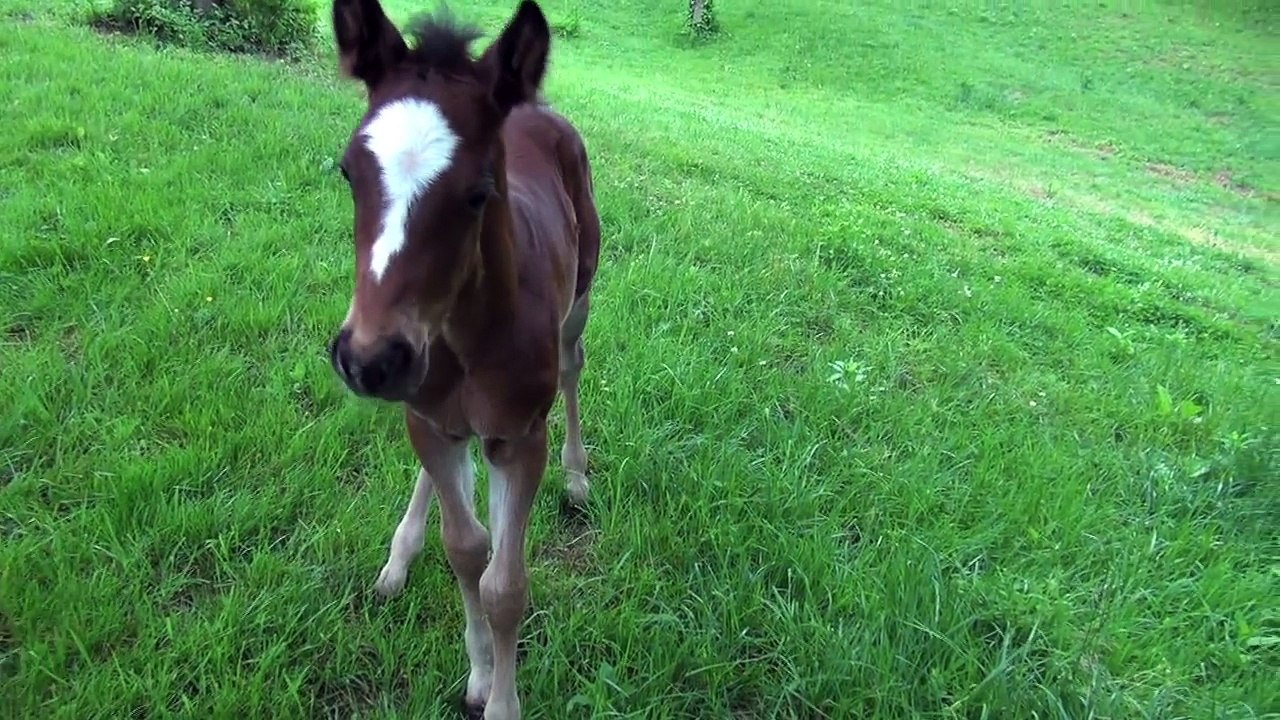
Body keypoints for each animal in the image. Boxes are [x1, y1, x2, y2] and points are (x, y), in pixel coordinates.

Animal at [324, 1, 601, 717]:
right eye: (348, 171)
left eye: (478, 193)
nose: (369, 360)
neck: (468, 340)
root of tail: (535, 107)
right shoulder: (428, 418)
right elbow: (466, 548)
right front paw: (478, 673)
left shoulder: (519, 437)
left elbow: (506, 585)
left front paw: (500, 701)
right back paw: (401, 553)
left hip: (582, 294)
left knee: (573, 364)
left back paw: (578, 477)